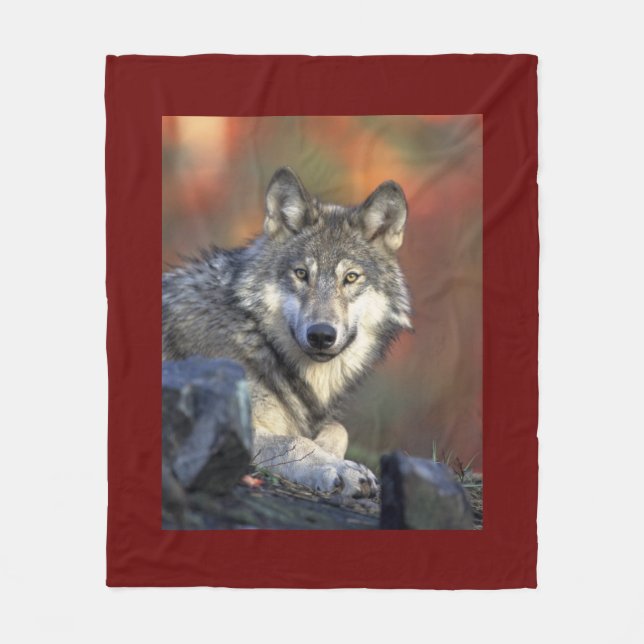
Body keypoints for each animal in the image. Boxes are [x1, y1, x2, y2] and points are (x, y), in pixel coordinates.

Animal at [162, 167, 412, 498]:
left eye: (350, 277)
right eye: (302, 274)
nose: (321, 335)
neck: (257, 337)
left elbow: (338, 429)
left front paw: (333, 455)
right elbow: (295, 441)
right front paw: (340, 468)